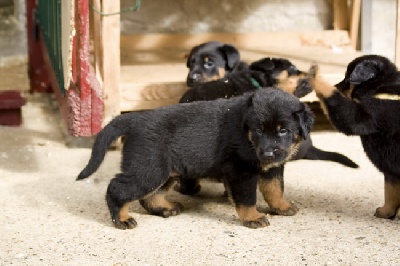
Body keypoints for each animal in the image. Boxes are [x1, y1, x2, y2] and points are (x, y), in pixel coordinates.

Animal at [76, 89, 312, 229]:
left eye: (283, 130)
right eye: (259, 130)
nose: (268, 153)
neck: (247, 134)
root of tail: (135, 119)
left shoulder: (273, 168)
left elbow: (275, 189)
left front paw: (281, 207)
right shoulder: (241, 172)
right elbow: (247, 199)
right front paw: (252, 217)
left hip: (166, 171)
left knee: (150, 195)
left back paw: (165, 208)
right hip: (148, 168)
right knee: (117, 188)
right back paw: (122, 219)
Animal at [310, 54, 400, 218]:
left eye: (347, 78)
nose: (336, 85)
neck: (380, 88)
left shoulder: (360, 117)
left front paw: (317, 76)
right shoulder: (390, 165)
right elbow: (391, 189)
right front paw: (386, 212)